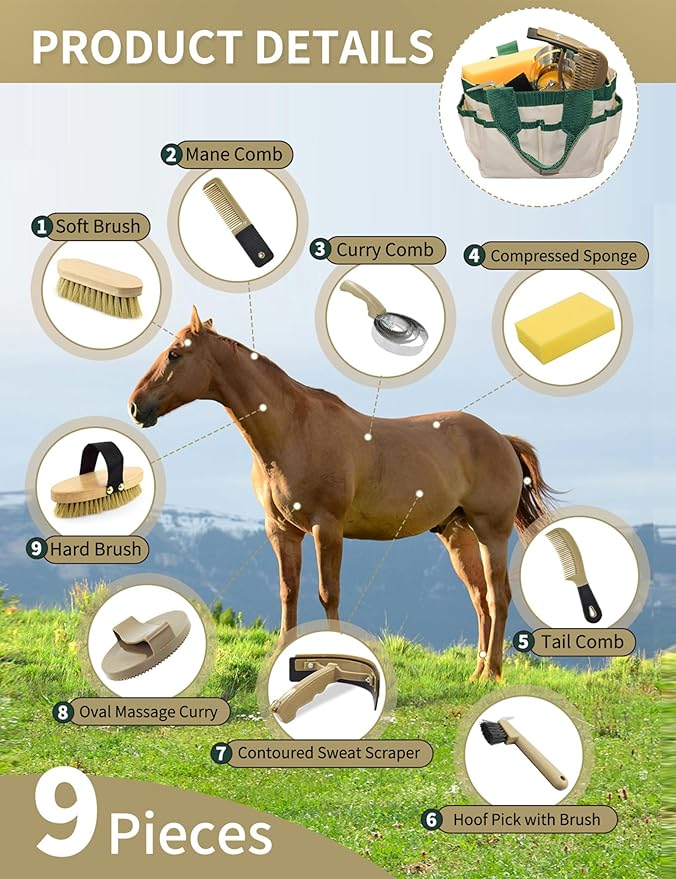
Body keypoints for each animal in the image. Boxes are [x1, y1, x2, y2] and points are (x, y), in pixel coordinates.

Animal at [129, 307, 554, 680]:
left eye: (175, 354)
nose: (136, 406)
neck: (292, 430)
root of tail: (501, 438)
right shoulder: (281, 530)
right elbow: (288, 592)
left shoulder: (326, 527)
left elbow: (327, 593)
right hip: (456, 535)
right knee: (481, 599)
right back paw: (477, 672)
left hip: (491, 532)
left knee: (498, 597)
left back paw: (492, 675)